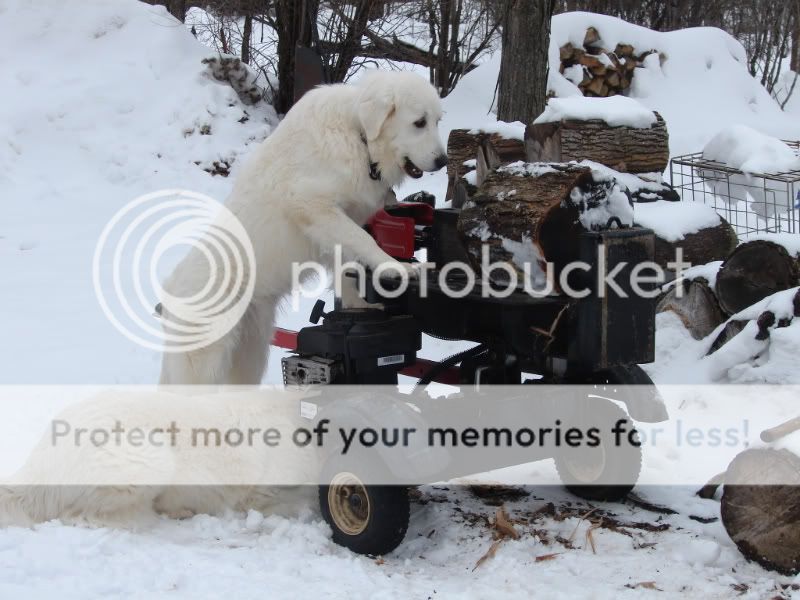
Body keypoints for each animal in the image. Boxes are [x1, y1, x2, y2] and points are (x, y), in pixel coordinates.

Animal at [156, 68, 444, 382]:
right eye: (419, 123)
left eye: (437, 121)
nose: (442, 161)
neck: (359, 137)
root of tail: (169, 293)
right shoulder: (312, 206)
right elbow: (364, 241)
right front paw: (397, 267)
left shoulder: (342, 223)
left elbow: (349, 264)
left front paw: (362, 305)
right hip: (206, 363)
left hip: (250, 350)